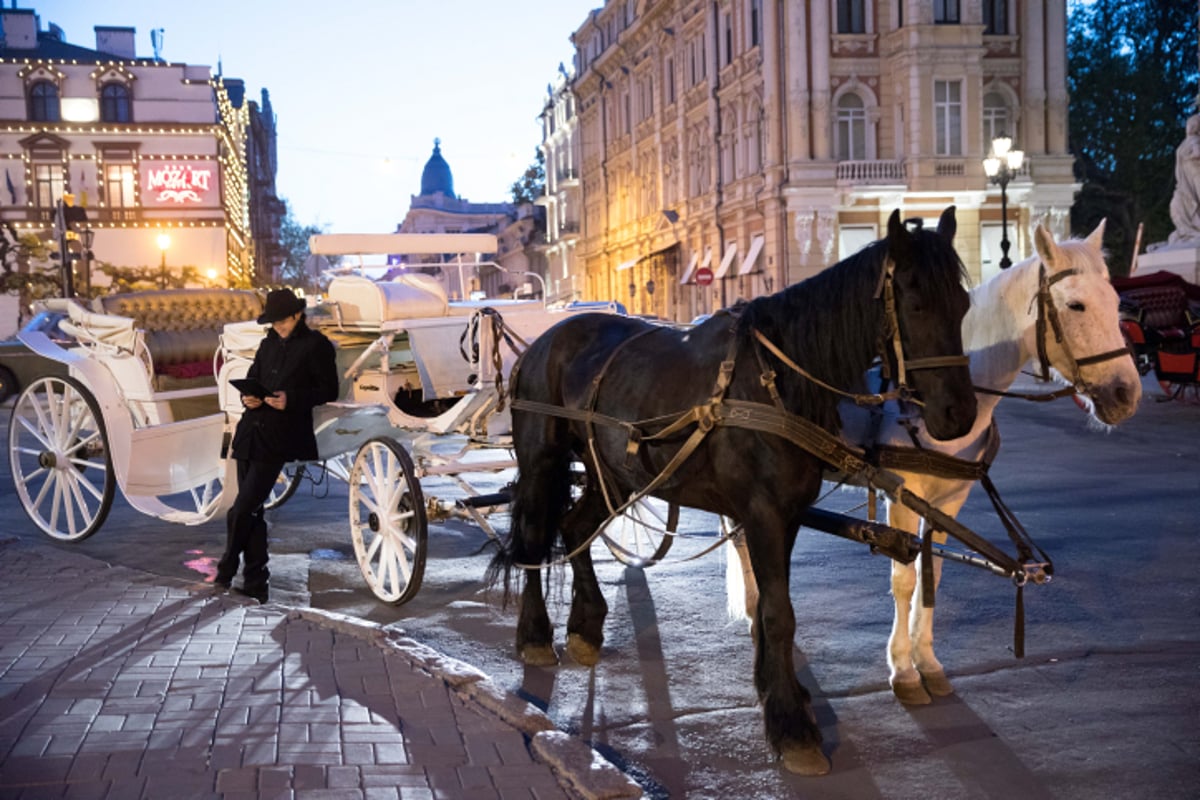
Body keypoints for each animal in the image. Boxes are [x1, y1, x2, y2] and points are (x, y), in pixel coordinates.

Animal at [487, 206, 974, 777]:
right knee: (534, 538)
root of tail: (546, 340)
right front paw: (793, 728)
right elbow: (779, 614)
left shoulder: (787, 515)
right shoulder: (764, 513)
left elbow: (769, 607)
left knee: (574, 526)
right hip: (542, 461)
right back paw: (535, 636)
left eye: (964, 305)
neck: (776, 380)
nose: (959, 415)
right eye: (916, 304)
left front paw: (778, 692)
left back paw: (585, 627)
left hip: (614, 475)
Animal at [724, 219, 1137, 700]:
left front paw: (928, 661)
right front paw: (903, 669)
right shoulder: (903, 497)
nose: (1126, 393)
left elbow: (931, 574)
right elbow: (904, 580)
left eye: (1116, 302)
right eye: (1076, 305)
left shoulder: (949, 499)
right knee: (739, 536)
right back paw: (755, 609)